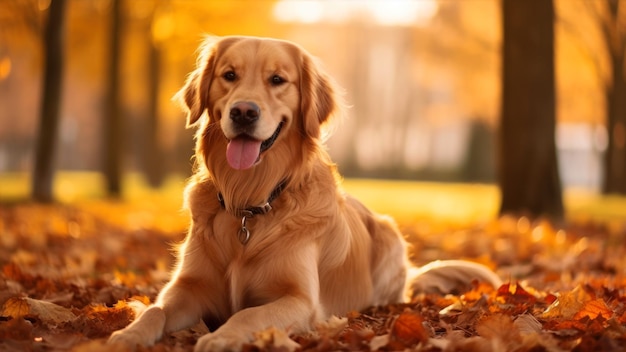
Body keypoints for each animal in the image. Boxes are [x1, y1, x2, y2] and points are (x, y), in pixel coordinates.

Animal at [106, 36, 498, 352]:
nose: (243, 112)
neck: (250, 203)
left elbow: (247, 315)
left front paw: (221, 337)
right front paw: (128, 334)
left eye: (278, 80)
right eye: (229, 75)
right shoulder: (188, 285)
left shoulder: (300, 299)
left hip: (390, 238)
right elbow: (155, 308)